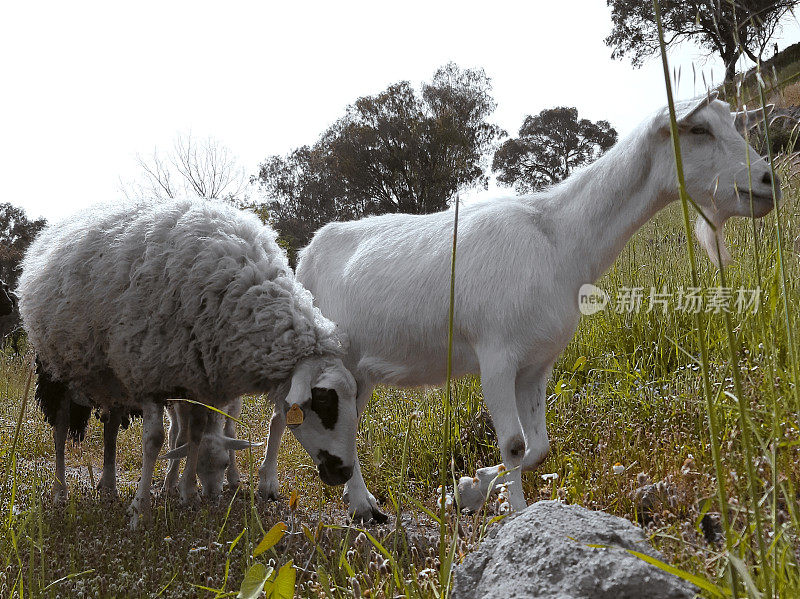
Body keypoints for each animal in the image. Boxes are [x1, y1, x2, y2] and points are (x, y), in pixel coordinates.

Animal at [18, 199, 358, 528]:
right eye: (324, 402)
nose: (344, 473)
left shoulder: (195, 382)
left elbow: (193, 435)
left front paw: (189, 495)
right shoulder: (149, 376)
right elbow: (155, 441)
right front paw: (141, 511)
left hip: (112, 377)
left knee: (111, 430)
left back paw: (110, 488)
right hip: (55, 370)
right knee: (61, 428)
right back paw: (60, 491)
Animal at [266, 95, 780, 520]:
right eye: (698, 130)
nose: (768, 180)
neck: (557, 238)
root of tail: (306, 253)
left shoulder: (536, 363)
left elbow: (538, 449)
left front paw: (469, 489)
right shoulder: (496, 356)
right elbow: (514, 446)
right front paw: (513, 514)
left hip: (358, 369)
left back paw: (348, 500)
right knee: (290, 414)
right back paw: (331, 500)